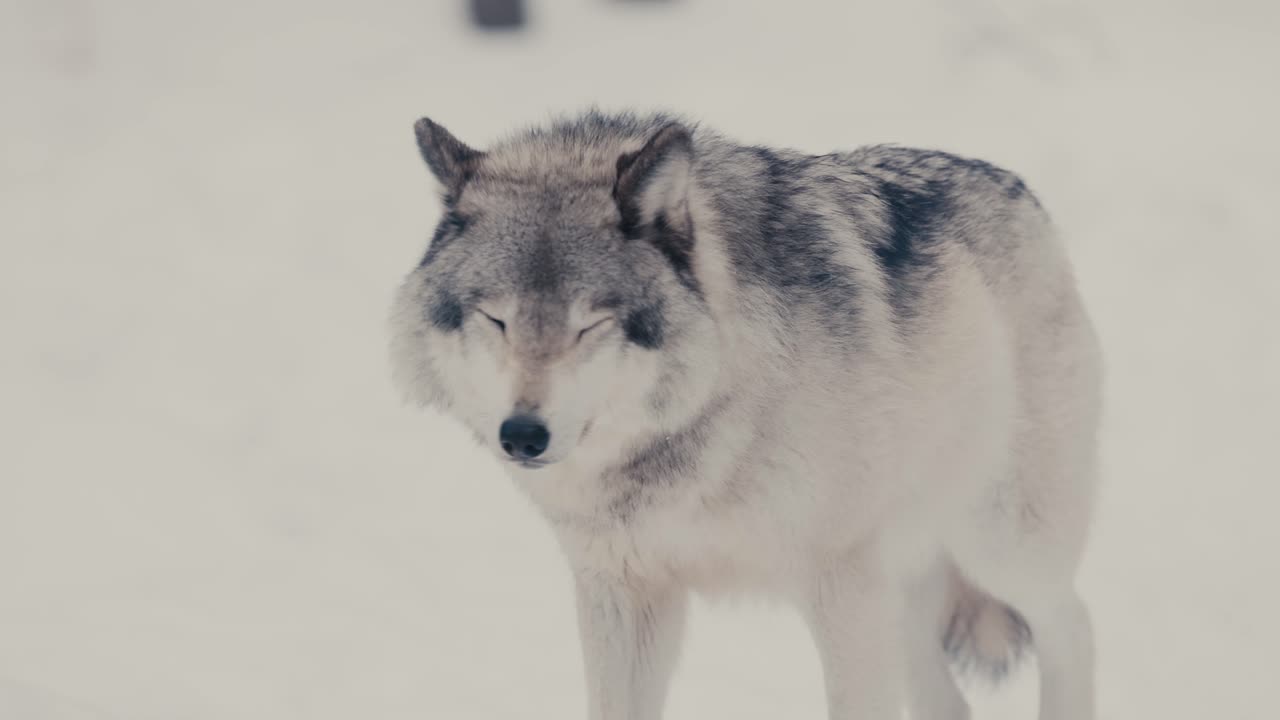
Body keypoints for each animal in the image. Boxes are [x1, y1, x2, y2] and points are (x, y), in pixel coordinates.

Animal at [390, 110, 1102, 720]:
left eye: (589, 325)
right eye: (497, 320)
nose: (522, 435)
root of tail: (1016, 188)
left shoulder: (842, 592)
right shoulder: (622, 595)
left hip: (995, 544)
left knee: (1074, 625)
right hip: (906, 590)